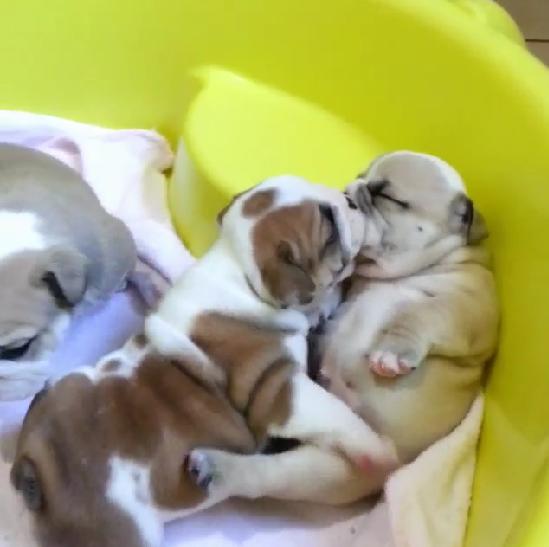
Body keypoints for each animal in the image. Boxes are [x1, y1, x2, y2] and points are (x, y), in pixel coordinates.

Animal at [9, 176, 394, 547]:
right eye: (329, 227)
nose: (350, 199)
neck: (238, 267)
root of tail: (32, 472)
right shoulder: (280, 386)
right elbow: (336, 415)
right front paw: (377, 451)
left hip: (66, 382)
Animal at [318, 152, 498, 464]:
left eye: (387, 196)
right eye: (359, 176)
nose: (347, 193)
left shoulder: (470, 309)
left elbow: (421, 314)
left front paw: (392, 352)